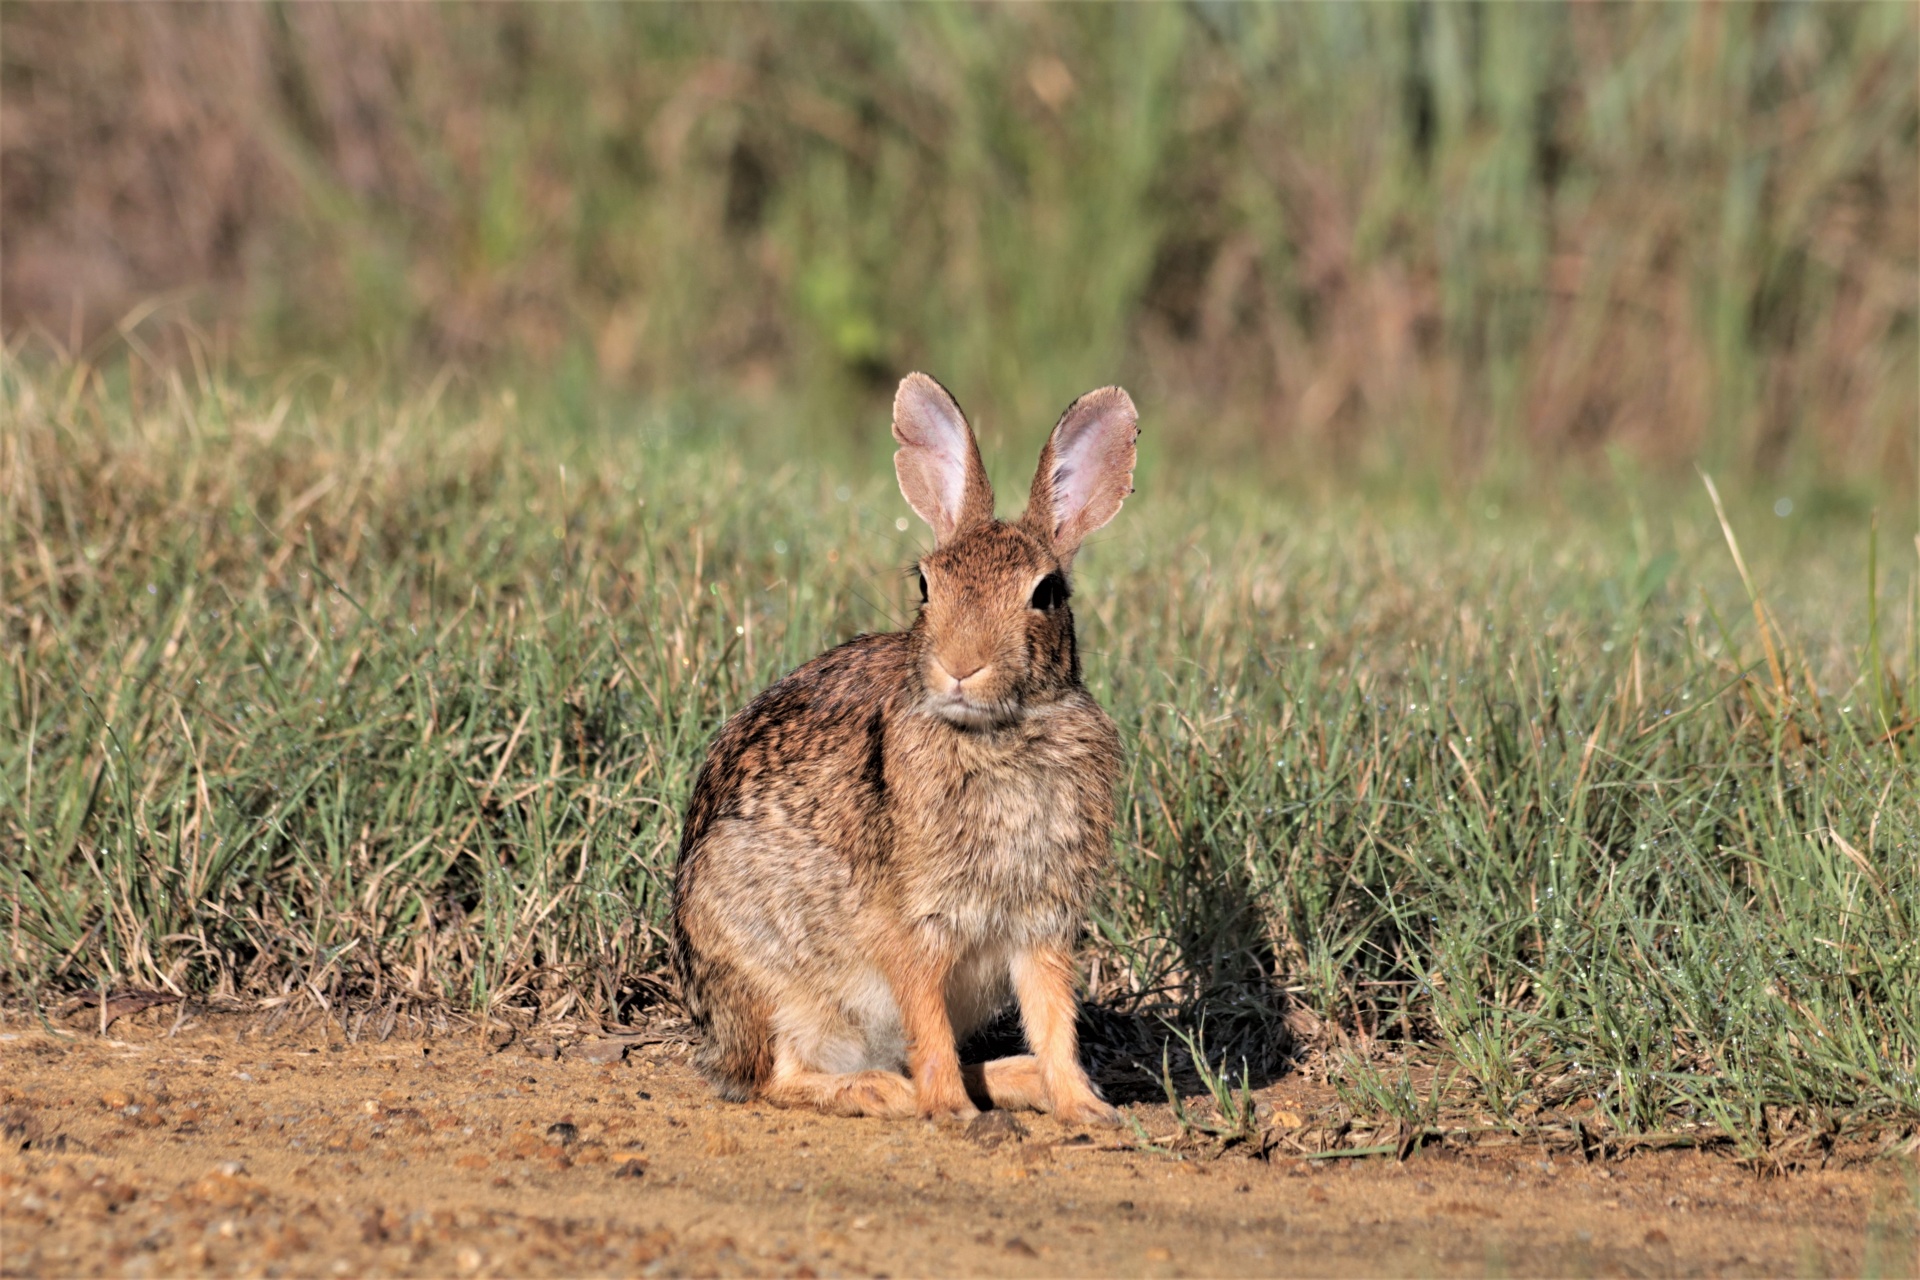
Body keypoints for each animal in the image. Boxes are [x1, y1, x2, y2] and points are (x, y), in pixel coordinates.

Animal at [668, 370, 1128, 1120]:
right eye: (925, 584)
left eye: (1046, 593)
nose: (961, 664)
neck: (997, 733)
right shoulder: (914, 925)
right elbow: (927, 1018)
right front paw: (952, 1112)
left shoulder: (1040, 923)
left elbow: (1054, 1018)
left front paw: (1085, 1109)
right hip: (774, 976)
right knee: (776, 1076)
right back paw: (885, 1090)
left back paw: (1016, 1080)